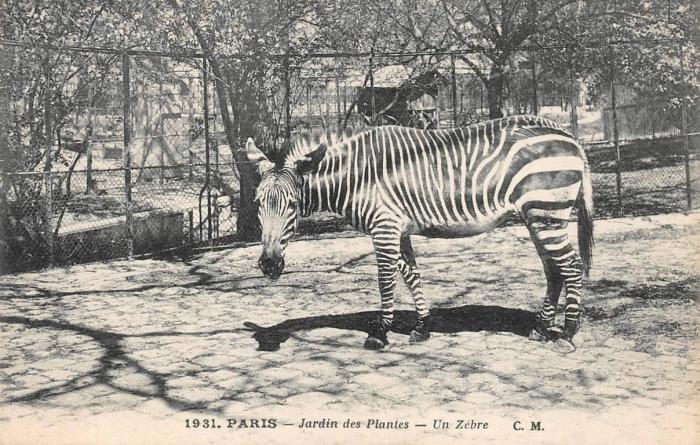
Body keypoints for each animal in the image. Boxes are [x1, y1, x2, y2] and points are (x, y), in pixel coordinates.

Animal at [246, 115, 594, 353]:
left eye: (292, 204)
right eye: (258, 203)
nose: (270, 265)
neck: (357, 177)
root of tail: (567, 134)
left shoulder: (384, 227)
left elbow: (385, 281)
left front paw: (379, 333)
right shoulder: (398, 230)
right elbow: (411, 275)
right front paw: (422, 327)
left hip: (546, 210)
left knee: (571, 267)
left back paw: (567, 333)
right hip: (538, 216)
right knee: (554, 270)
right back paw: (541, 328)